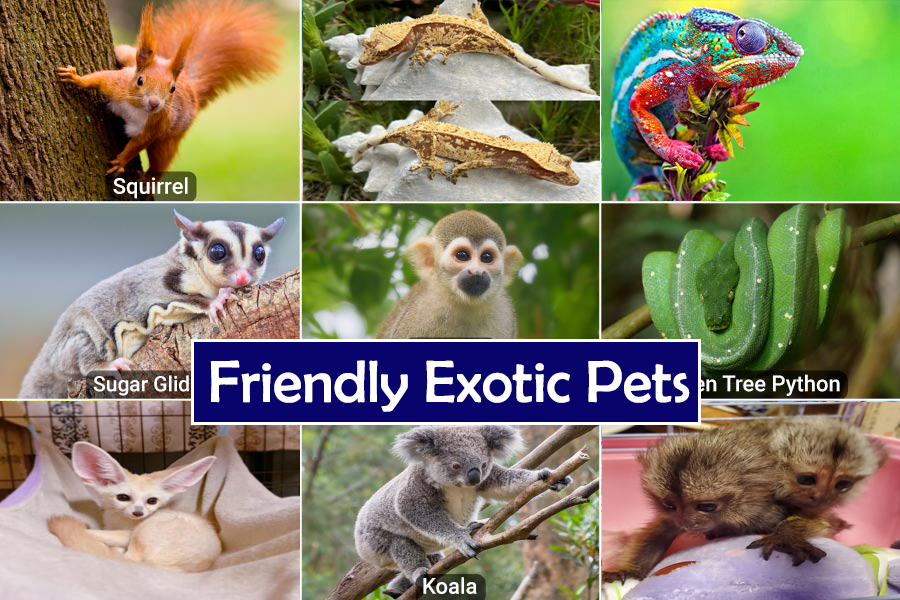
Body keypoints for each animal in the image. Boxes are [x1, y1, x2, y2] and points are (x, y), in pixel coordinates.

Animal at [18, 211, 285, 399]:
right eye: (217, 252)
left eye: (259, 254)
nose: (242, 277)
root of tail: (45, 359)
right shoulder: (154, 283)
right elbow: (166, 295)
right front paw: (214, 302)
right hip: (67, 351)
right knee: (87, 344)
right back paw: (107, 364)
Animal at [354, 425, 573, 598]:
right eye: (455, 465)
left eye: (483, 464)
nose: (474, 478)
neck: (456, 486)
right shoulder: (417, 487)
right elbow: (413, 509)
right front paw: (462, 538)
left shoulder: (489, 479)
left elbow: (506, 484)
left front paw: (549, 476)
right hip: (375, 543)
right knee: (402, 547)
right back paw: (419, 573)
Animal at [376, 210, 523, 339]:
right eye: (462, 255)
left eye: (487, 257)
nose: (477, 271)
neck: (465, 306)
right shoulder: (417, 314)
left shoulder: (505, 315)